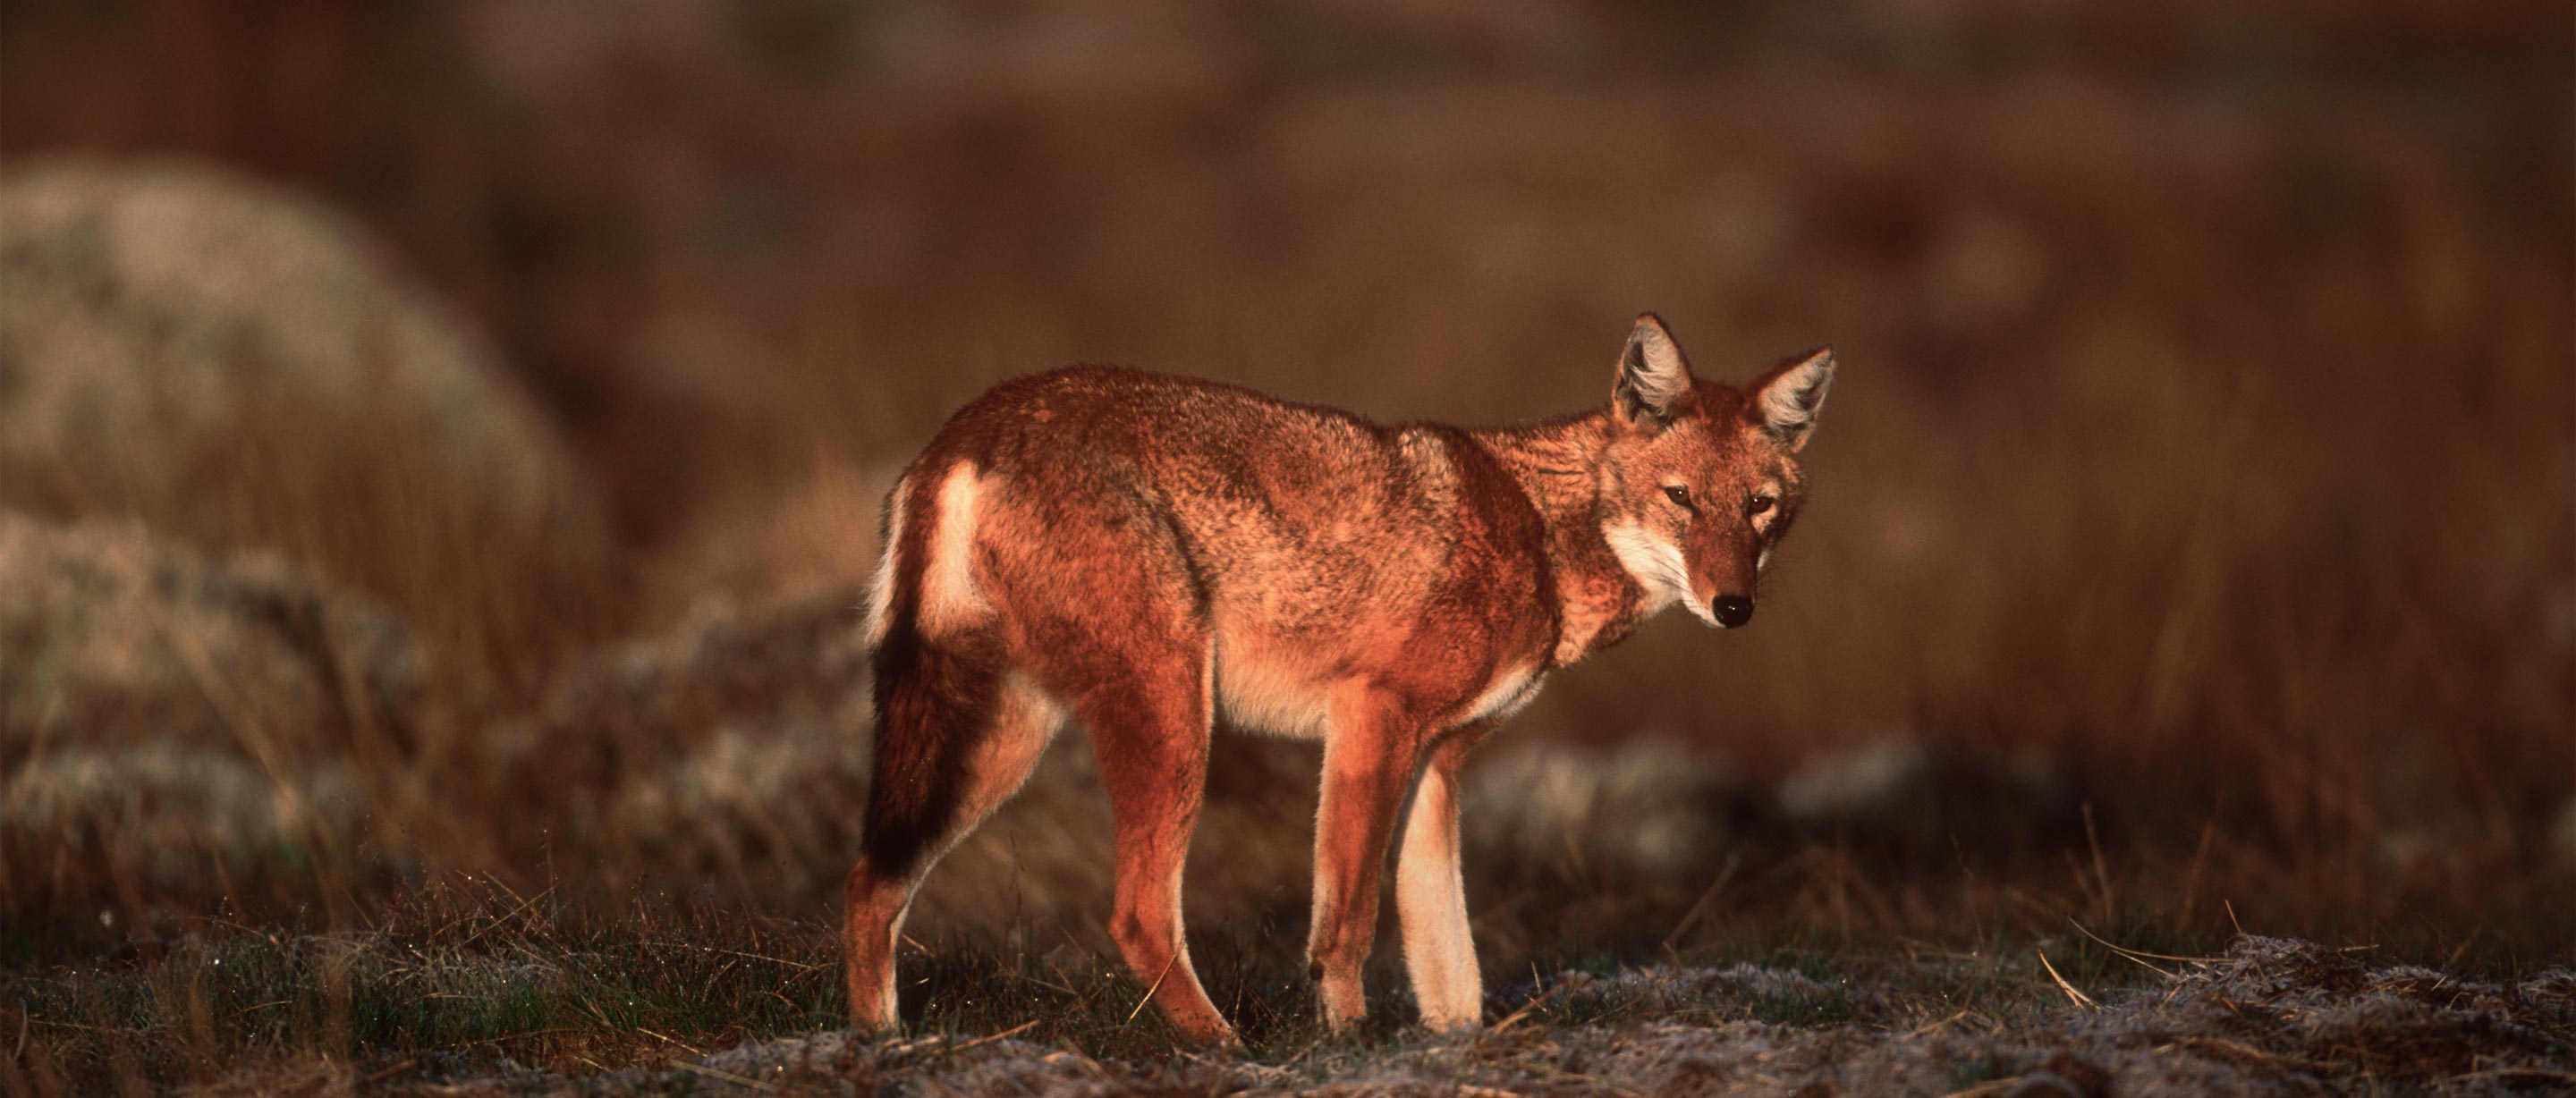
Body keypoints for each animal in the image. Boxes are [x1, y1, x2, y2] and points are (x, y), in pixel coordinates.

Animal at [844, 313, 1834, 1041]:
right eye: (1681, 499)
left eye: (1760, 508)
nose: (1733, 606)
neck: (1542, 533)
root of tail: (972, 424)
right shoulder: (1374, 717)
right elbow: (1347, 924)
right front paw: (1348, 1040)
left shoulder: (1441, 763)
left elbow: (1448, 954)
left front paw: (1453, 1045)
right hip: (1171, 721)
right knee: (1136, 913)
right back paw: (1224, 1047)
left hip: (1002, 745)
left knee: (870, 884)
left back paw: (879, 1042)